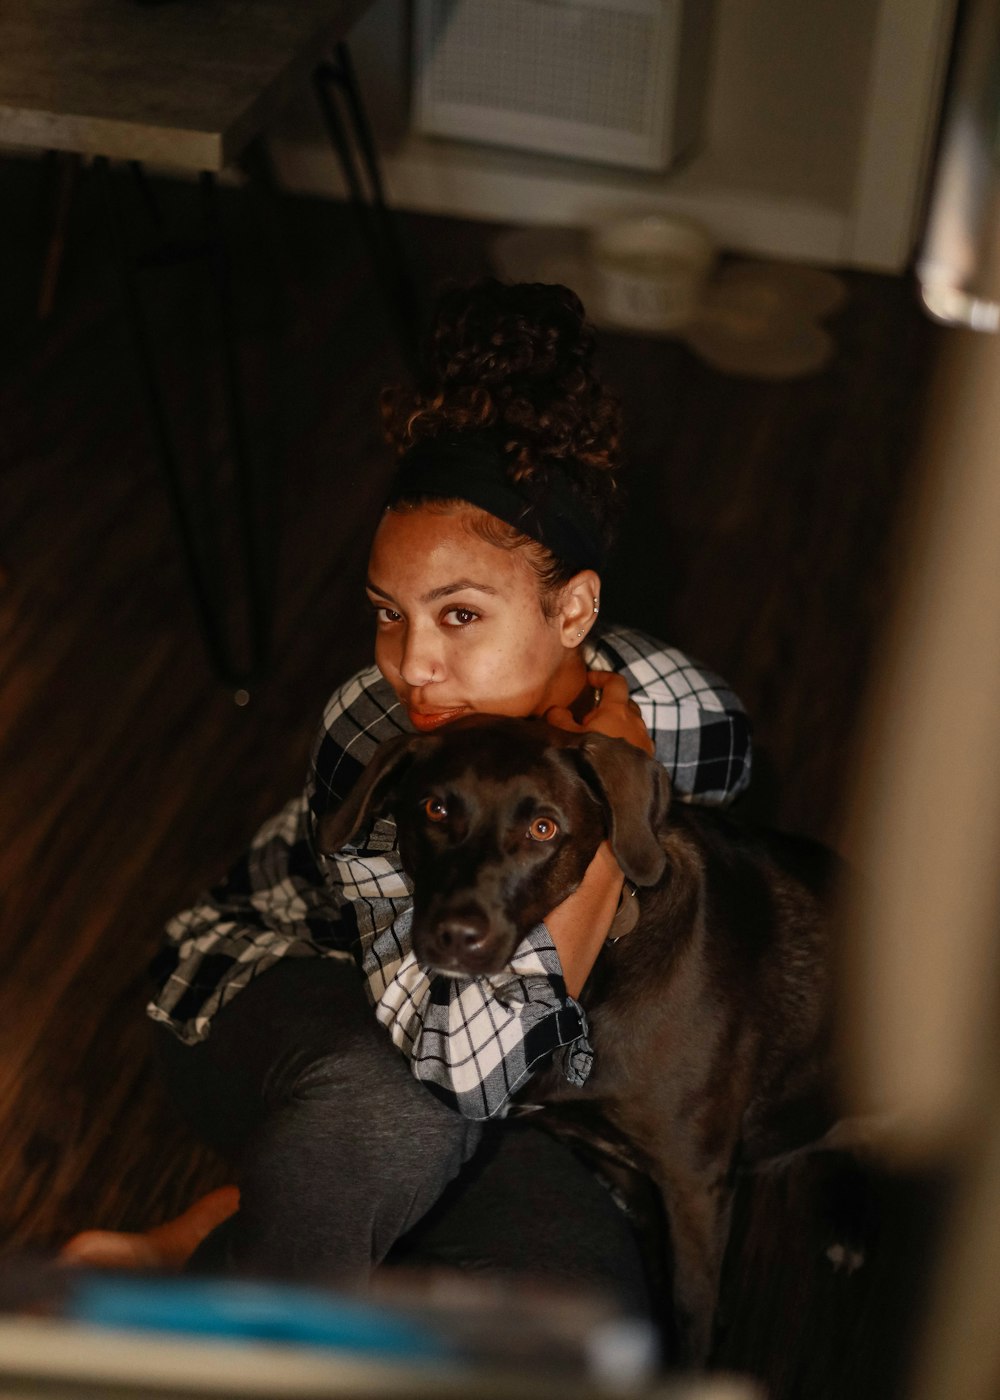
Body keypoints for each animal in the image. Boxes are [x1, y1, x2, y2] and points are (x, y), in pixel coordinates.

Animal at [315, 716, 834, 1360]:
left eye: (543, 828)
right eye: (436, 809)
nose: (455, 935)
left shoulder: (696, 1184)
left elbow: (691, 1311)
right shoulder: (629, 1174)